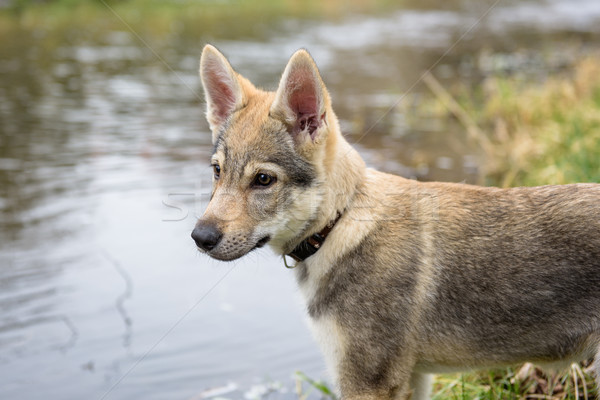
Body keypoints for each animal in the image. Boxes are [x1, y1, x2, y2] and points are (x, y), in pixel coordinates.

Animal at [191, 43, 600, 400]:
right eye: (217, 171)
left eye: (263, 180)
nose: (200, 237)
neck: (338, 225)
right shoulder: (414, 380)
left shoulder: (367, 383)